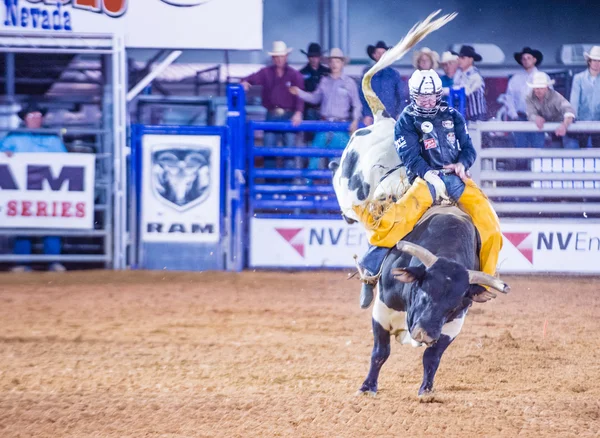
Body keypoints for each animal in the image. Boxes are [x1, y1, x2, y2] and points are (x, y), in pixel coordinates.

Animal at [358, 209, 508, 396]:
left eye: (453, 307)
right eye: (423, 293)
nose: (425, 334)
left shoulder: (453, 325)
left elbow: (432, 357)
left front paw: (426, 391)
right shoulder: (383, 310)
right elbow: (380, 352)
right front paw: (367, 387)